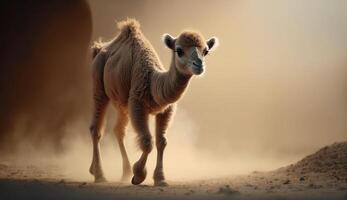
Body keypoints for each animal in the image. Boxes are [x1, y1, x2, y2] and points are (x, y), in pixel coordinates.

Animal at [89, 18, 220, 186]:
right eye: (179, 50)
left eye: (206, 51)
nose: (199, 65)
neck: (154, 83)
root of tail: (99, 48)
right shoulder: (137, 104)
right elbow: (147, 141)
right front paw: (138, 175)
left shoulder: (166, 110)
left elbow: (161, 141)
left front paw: (160, 178)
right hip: (99, 84)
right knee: (96, 129)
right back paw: (100, 176)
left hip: (122, 102)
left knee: (118, 130)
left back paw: (121, 173)